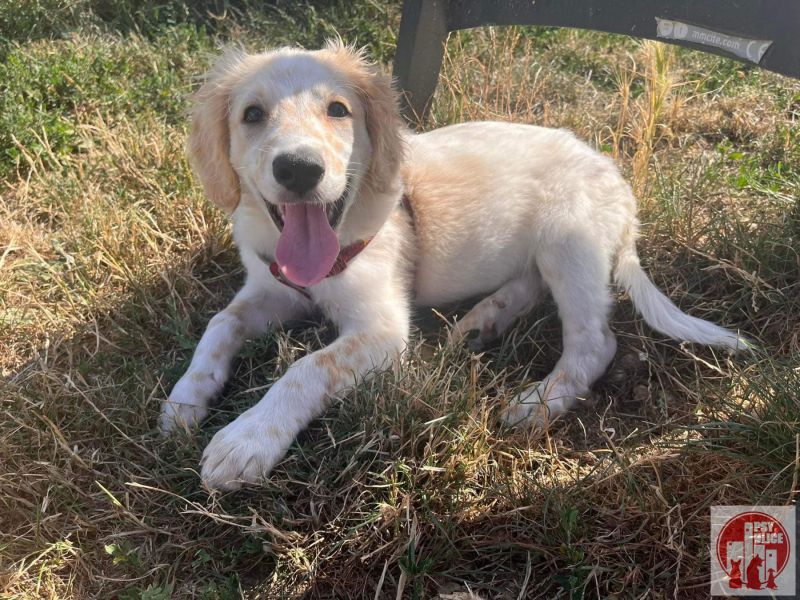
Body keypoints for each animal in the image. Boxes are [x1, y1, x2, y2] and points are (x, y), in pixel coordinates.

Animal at [160, 42, 748, 490]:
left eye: (338, 110)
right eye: (252, 115)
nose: (300, 169)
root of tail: (621, 189)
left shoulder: (382, 331)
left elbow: (306, 368)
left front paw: (247, 439)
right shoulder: (271, 288)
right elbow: (221, 323)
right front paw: (185, 398)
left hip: (569, 240)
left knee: (594, 340)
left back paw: (538, 401)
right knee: (531, 285)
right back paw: (482, 322)